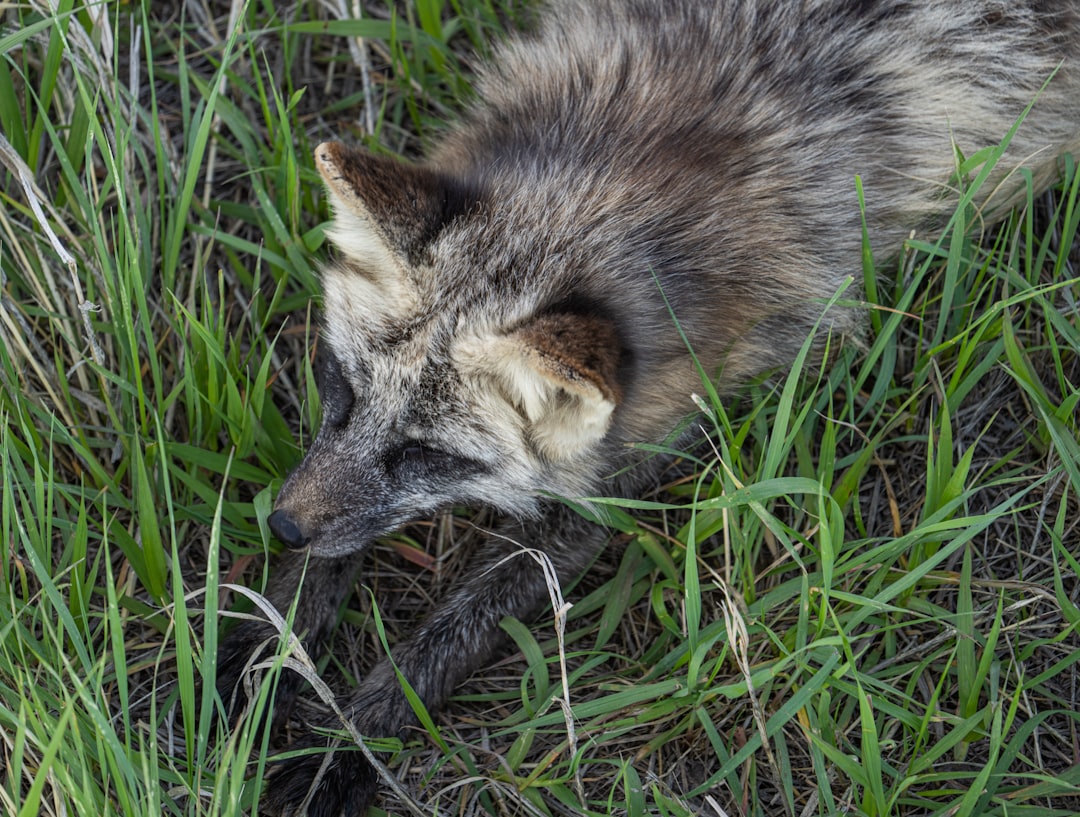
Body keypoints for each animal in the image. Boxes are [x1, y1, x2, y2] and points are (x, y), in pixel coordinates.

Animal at [217, 3, 1080, 812]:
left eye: (429, 454)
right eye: (340, 388)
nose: (280, 524)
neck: (629, 163)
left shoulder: (617, 473)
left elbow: (440, 642)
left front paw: (342, 748)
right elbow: (320, 568)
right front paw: (261, 660)